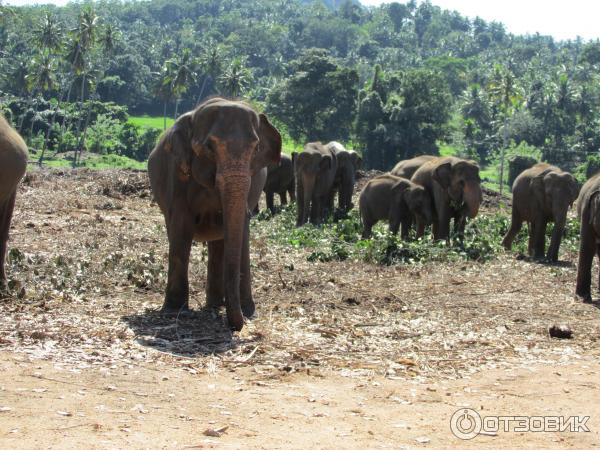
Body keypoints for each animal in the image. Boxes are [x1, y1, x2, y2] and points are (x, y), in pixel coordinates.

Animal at [149, 98, 282, 330]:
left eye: (256, 148)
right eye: (209, 147)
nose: (238, 325)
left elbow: (241, 229)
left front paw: (248, 311)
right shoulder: (176, 174)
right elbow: (181, 226)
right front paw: (174, 311)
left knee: (219, 242)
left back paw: (215, 305)